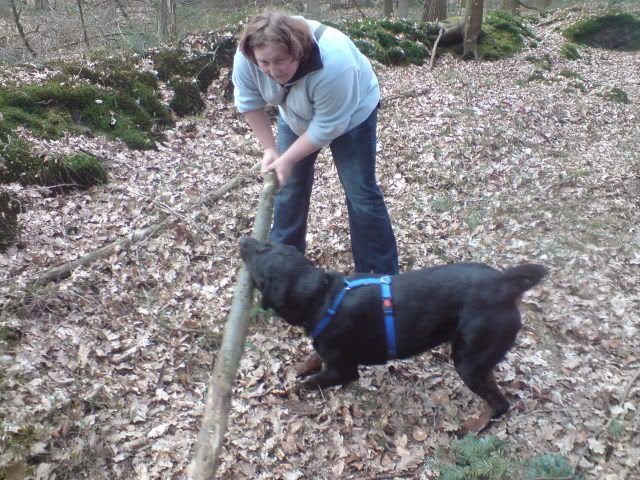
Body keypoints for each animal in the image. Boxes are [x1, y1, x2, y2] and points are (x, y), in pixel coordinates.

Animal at [238, 238, 548, 434]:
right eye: (268, 244)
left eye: (261, 253)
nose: (243, 239)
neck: (321, 297)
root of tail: (505, 284)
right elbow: (312, 357)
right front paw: (300, 366)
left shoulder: (343, 370)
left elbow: (310, 383)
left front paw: (291, 390)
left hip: (469, 360)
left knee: (500, 404)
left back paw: (472, 427)